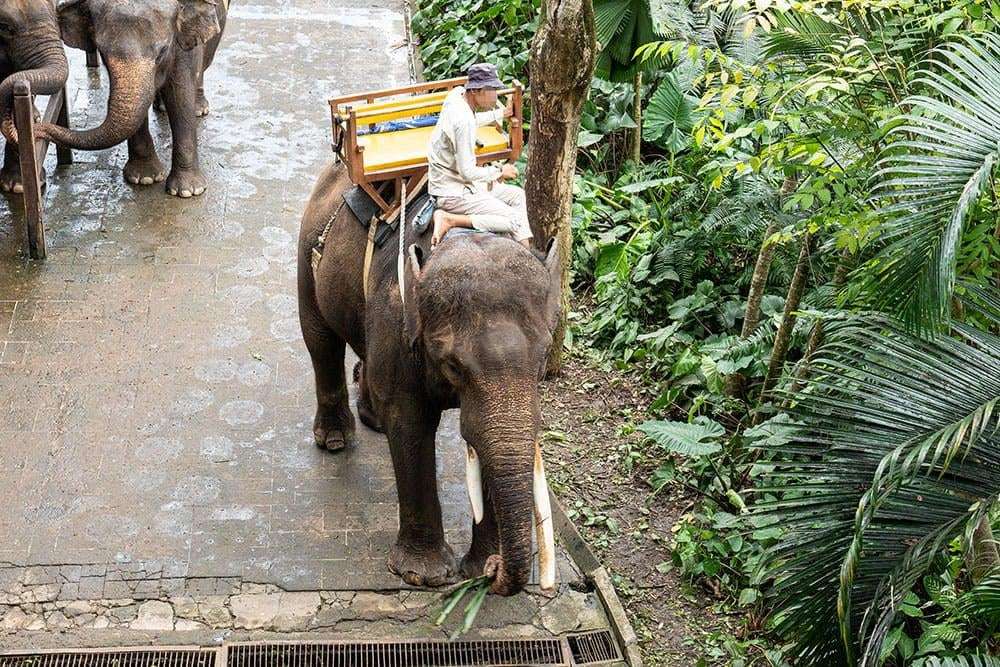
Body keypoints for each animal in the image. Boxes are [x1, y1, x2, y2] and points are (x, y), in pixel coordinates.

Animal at [34, 0, 228, 198]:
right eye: (102, 52)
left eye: (162, 52)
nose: (36, 127)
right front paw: (145, 178)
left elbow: (180, 94)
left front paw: (188, 191)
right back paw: (161, 107)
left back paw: (199, 109)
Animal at [298, 165, 561, 597]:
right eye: (453, 366)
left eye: (542, 363)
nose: (495, 572)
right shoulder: (398, 313)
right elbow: (409, 422)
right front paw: (424, 576)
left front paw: (477, 568)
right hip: (309, 252)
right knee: (320, 338)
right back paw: (335, 439)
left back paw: (371, 417)